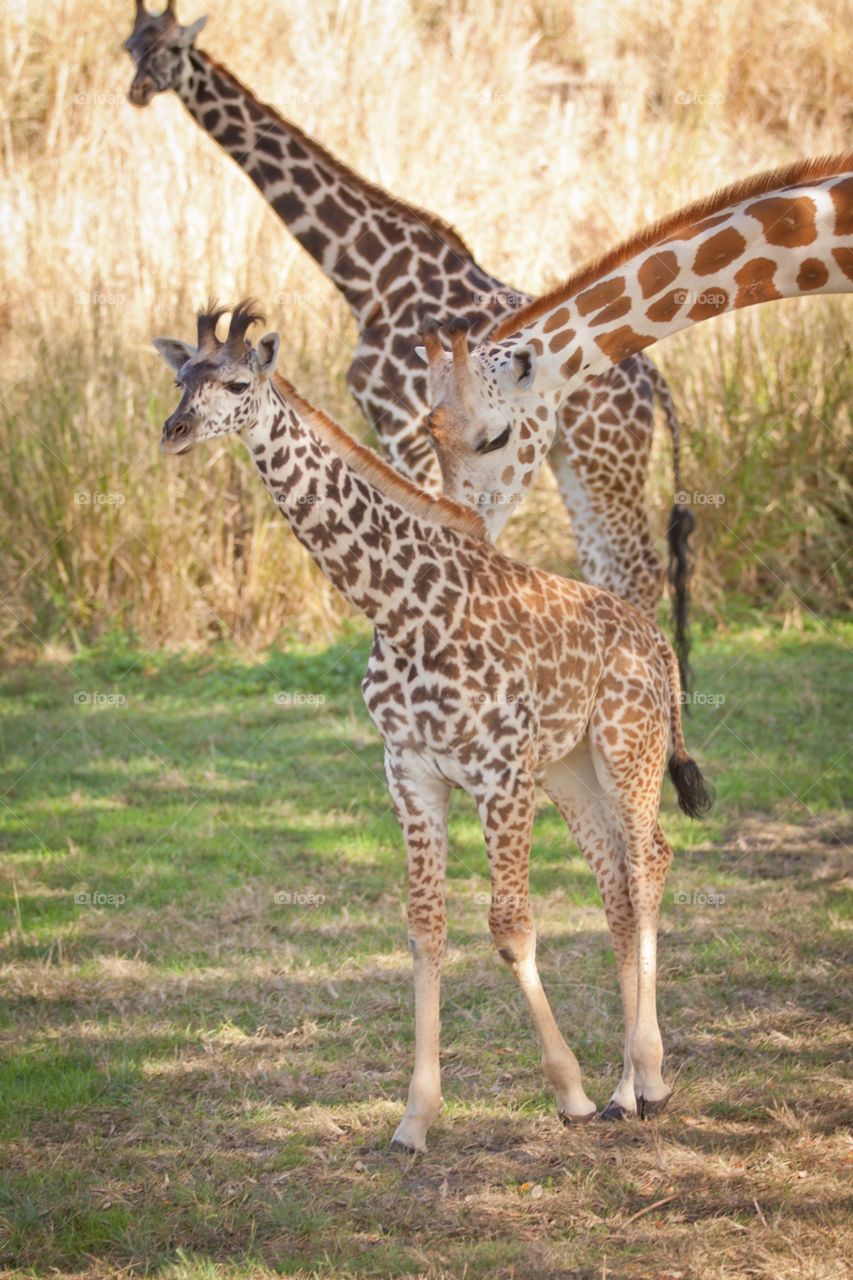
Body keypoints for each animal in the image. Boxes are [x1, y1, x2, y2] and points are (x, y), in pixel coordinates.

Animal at [124, 0, 695, 675]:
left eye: (168, 49)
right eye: (131, 45)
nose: (137, 92)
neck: (364, 274)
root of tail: (653, 381)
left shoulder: (402, 423)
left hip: (609, 461)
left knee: (639, 564)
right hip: (574, 459)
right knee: (606, 563)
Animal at [153, 301, 713, 1151]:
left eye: (238, 383)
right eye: (181, 378)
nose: (176, 431)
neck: (402, 609)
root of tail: (657, 646)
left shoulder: (498, 774)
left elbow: (510, 926)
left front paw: (568, 1093)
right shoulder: (411, 770)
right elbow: (424, 928)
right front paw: (414, 1117)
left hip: (628, 745)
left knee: (648, 863)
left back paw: (638, 1082)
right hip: (571, 768)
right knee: (617, 878)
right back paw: (632, 1084)